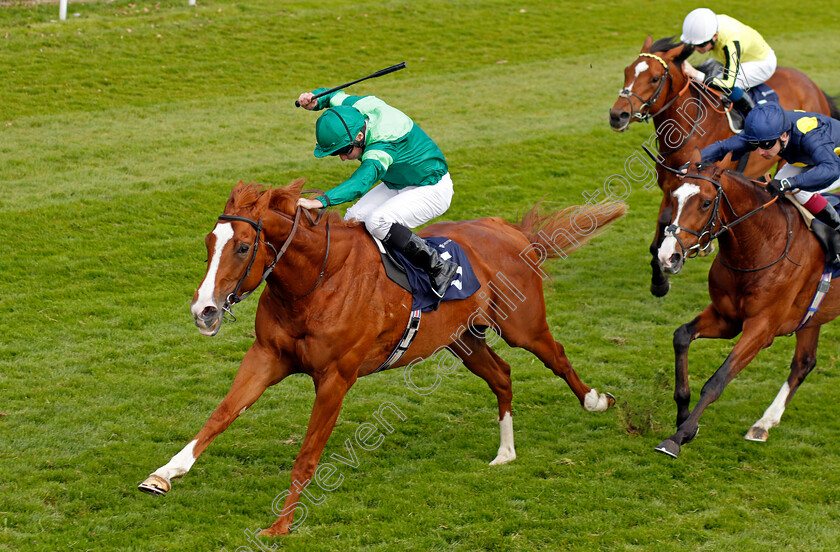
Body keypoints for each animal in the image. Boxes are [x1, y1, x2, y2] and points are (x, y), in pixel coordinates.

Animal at [138, 180, 624, 536]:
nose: (204, 310)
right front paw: (163, 474)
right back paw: (505, 452)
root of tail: (510, 230)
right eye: (208, 243)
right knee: (501, 375)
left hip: (523, 326)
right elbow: (221, 415)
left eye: (242, 247)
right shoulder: (267, 356)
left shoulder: (335, 377)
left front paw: (281, 524)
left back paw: (596, 401)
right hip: (463, 339)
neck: (316, 281)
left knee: (556, 357)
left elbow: (307, 455)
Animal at [608, 35, 836, 298]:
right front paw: (659, 280)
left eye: (655, 78)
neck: (690, 127)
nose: (617, 115)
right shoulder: (672, 188)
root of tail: (812, 85)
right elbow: (660, 235)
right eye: (627, 71)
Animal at [652, 148, 840, 458]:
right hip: (812, 317)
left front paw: (679, 436)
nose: (668, 257)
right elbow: (681, 336)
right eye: (673, 197)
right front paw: (683, 414)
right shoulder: (727, 318)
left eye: (706, 203)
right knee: (804, 363)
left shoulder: (762, 329)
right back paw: (763, 424)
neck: (761, 245)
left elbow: (717, 381)